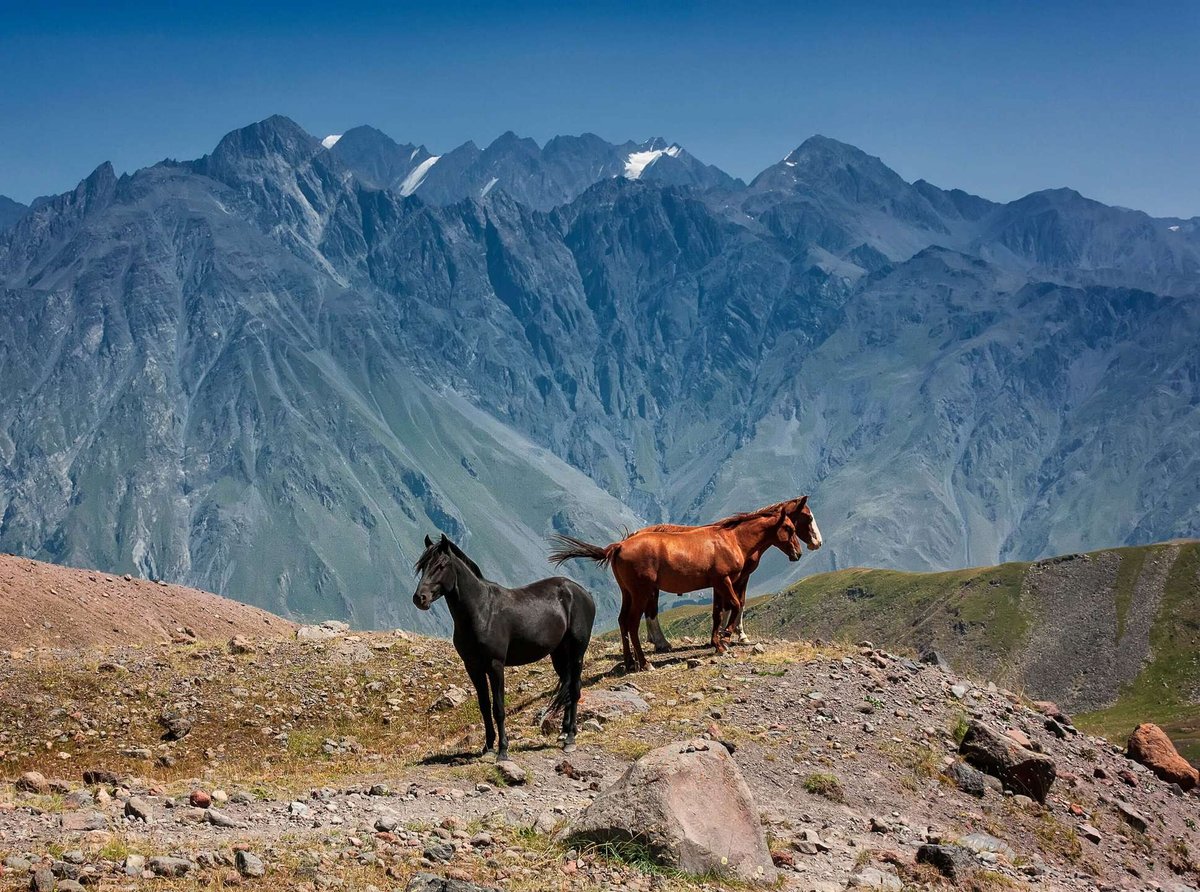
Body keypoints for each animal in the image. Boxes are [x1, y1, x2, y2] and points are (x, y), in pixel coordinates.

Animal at [413, 534, 595, 760]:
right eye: (423, 566)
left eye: (441, 565)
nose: (420, 598)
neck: (482, 611)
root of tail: (583, 592)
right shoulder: (473, 667)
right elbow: (484, 706)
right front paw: (488, 747)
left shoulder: (495, 665)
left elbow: (498, 708)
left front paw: (502, 750)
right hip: (559, 655)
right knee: (567, 688)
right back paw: (563, 732)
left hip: (577, 652)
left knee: (575, 688)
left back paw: (570, 738)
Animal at [549, 498, 820, 671]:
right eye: (792, 526)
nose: (800, 552)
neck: (731, 539)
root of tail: (620, 545)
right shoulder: (725, 581)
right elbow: (734, 605)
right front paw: (727, 636)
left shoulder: (719, 584)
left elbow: (719, 611)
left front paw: (719, 642)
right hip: (642, 592)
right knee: (634, 622)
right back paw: (645, 662)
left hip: (629, 593)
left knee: (623, 621)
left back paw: (630, 662)